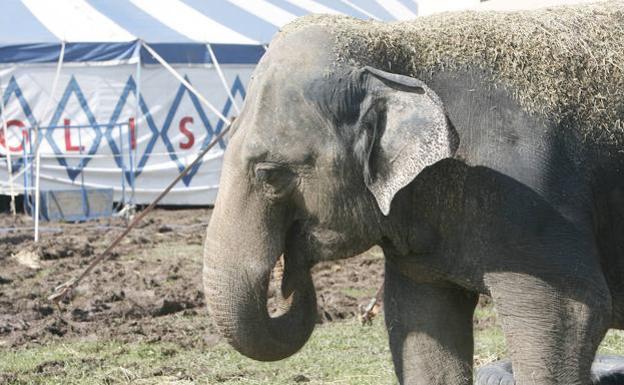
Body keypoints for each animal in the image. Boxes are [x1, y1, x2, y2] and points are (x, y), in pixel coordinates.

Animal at [204, 3, 624, 384]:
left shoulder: (533, 200)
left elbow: (568, 316)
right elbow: (421, 323)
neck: (398, 47)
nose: (289, 276)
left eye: (270, 174)